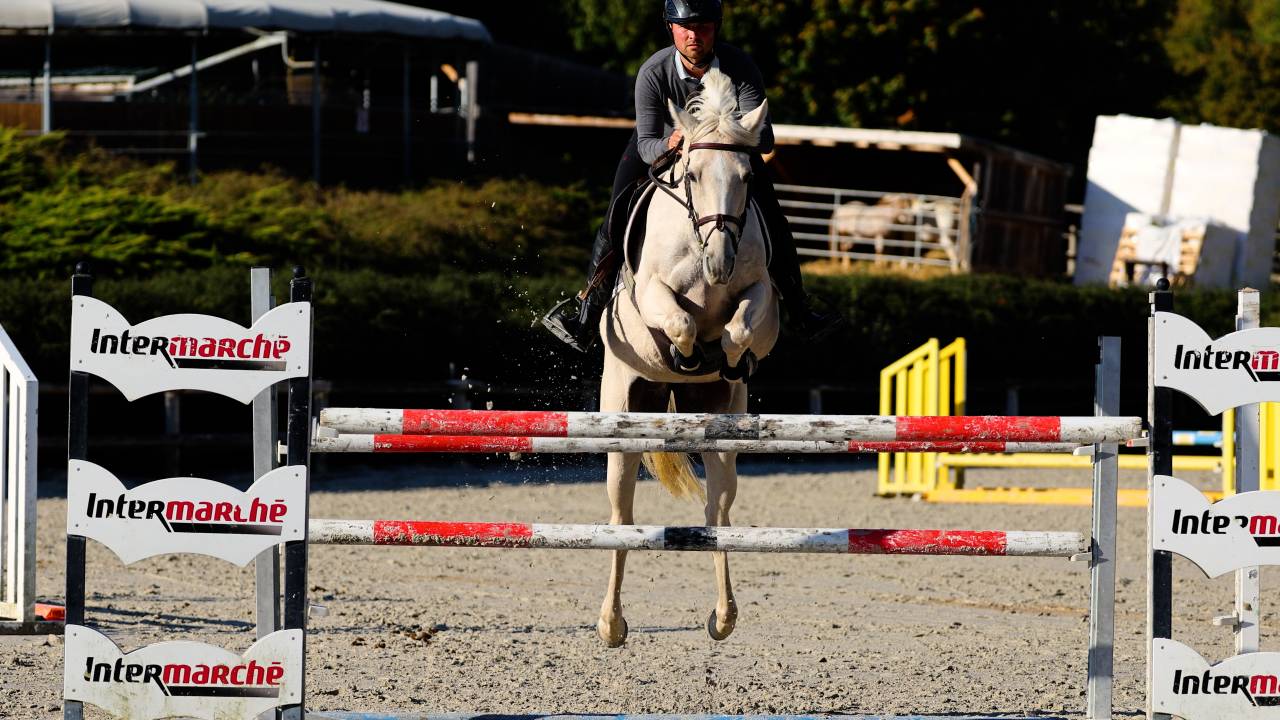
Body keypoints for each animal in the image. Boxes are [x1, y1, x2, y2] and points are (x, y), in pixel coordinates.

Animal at [595, 68, 779, 647]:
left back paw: (723, 617)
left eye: (746, 175)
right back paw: (611, 623)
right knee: (621, 514)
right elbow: (677, 321)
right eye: (693, 175)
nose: (719, 262)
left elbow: (741, 326)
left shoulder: (762, 296)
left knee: (717, 513)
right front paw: (685, 349)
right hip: (622, 417)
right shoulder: (652, 291)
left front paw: (728, 354)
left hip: (723, 432)